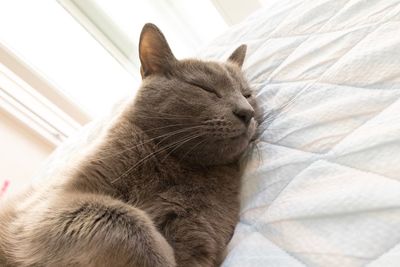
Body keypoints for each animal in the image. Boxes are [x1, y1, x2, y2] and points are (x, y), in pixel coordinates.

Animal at [0, 23, 260, 267]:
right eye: (206, 89)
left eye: (247, 94)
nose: (247, 112)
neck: (178, 165)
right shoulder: (42, 207)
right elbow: (128, 221)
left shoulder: (200, 241)